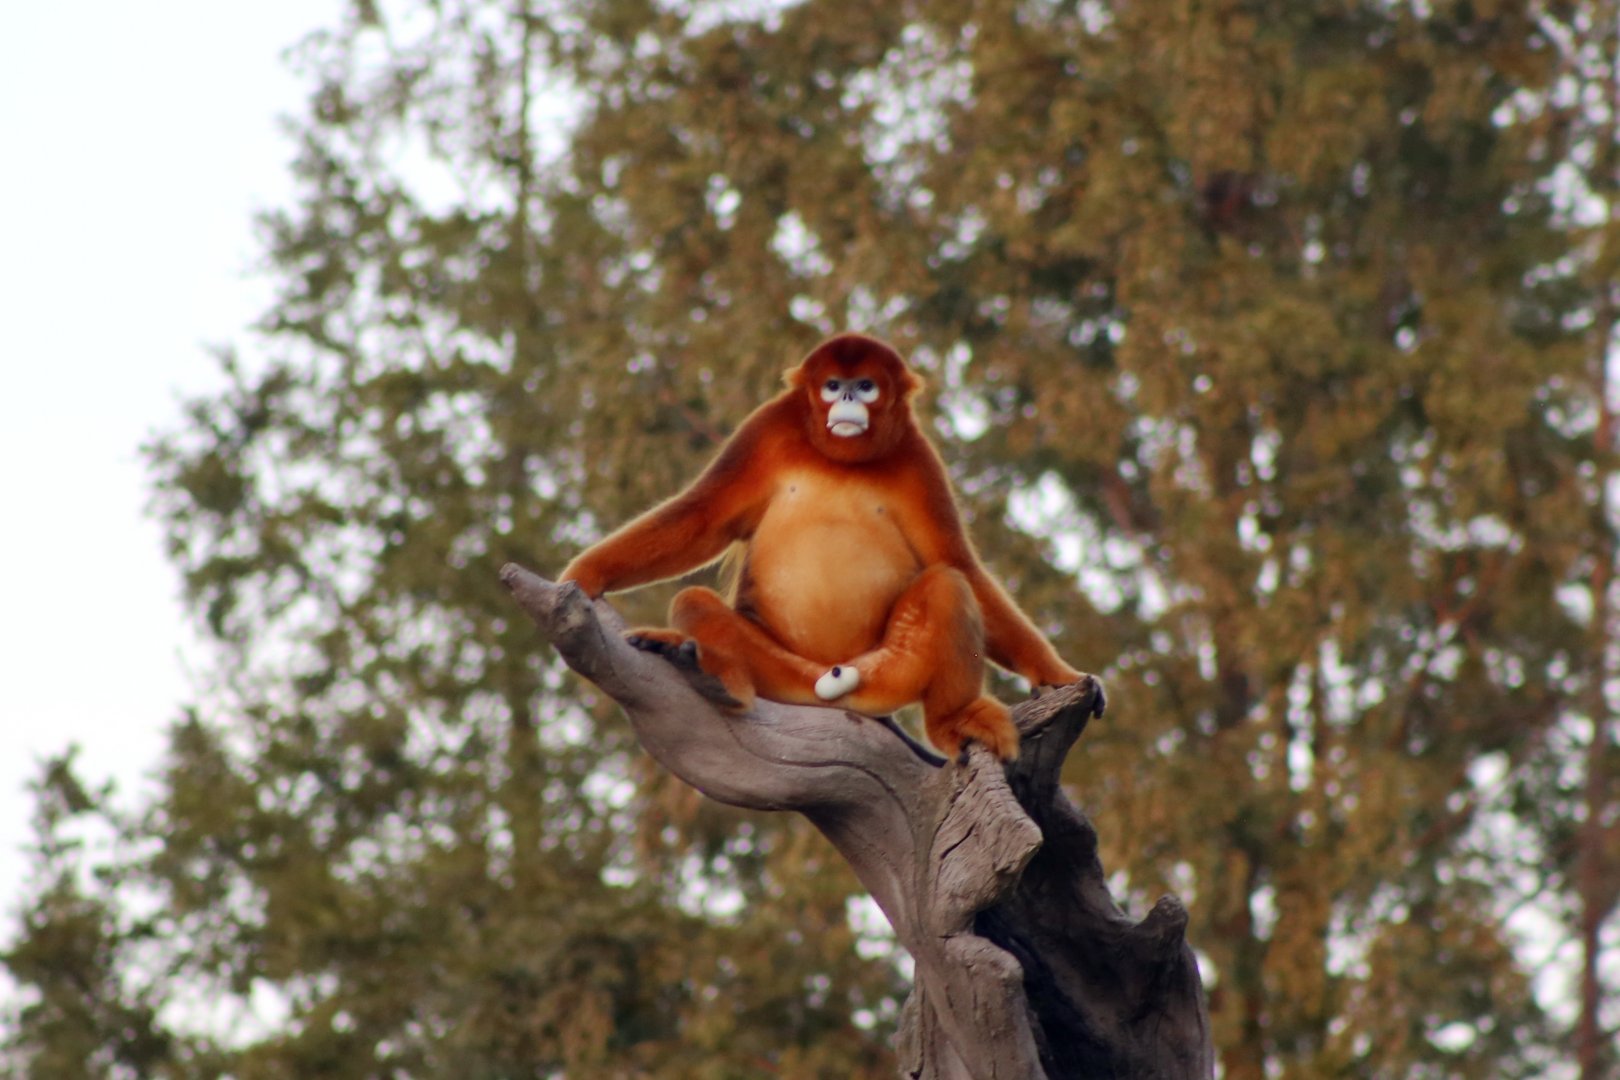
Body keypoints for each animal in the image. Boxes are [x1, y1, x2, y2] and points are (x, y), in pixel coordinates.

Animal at [559, 333, 1082, 761]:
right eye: (833, 385)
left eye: (865, 386)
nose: (847, 397)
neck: (839, 458)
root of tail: (829, 684)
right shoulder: (767, 425)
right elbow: (701, 519)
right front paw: (583, 578)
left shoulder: (917, 455)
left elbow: (955, 561)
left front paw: (1058, 676)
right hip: (782, 675)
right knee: (693, 600)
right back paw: (716, 676)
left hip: (884, 675)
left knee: (948, 587)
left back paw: (952, 721)